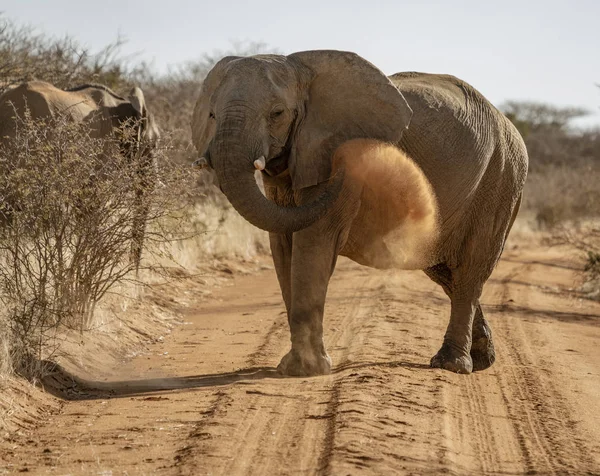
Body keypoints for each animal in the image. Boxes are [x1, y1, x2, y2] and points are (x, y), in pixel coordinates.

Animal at [190, 49, 528, 376]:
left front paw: (304, 370)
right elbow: (283, 245)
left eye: (277, 113)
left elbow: (313, 242)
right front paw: (293, 367)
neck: (301, 69)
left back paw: (452, 365)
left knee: (470, 269)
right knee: (445, 271)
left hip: (501, 178)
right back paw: (482, 358)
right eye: (211, 115)